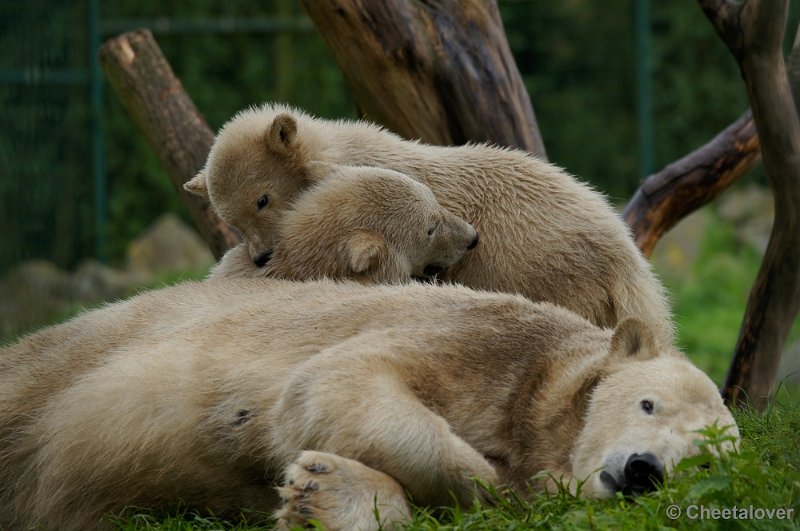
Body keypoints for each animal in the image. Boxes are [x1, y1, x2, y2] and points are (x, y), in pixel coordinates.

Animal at [0, 280, 736, 528]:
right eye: (648, 404)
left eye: (702, 461)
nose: (643, 470)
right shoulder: (487, 344)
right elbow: (337, 379)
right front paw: (493, 478)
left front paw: (322, 494)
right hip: (73, 356)